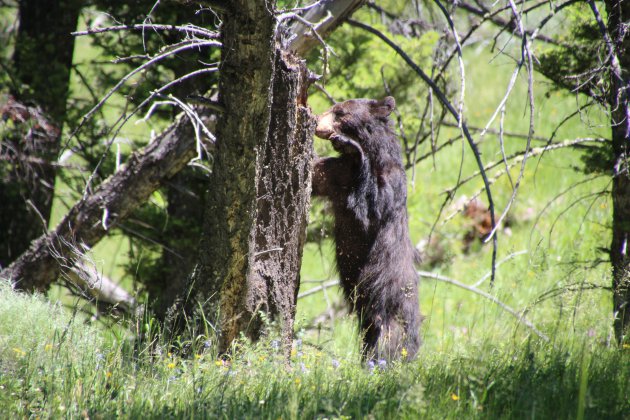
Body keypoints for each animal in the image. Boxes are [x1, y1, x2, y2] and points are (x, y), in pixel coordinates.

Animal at [314, 96, 422, 360]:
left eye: (340, 112)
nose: (316, 120)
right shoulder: (335, 172)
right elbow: (316, 172)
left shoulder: (389, 184)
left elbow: (370, 208)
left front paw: (350, 145)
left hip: (388, 305)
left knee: (388, 341)